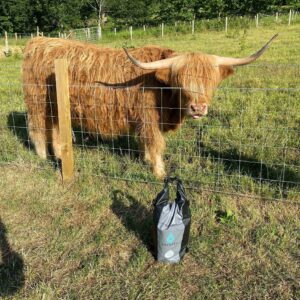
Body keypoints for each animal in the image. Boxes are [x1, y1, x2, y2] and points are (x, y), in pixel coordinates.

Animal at [22, 34, 278, 178]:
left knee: (55, 129)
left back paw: (58, 155)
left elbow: (146, 143)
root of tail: (38, 41)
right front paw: (159, 172)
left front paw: (146, 160)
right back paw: (43, 157)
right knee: (37, 128)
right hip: (38, 102)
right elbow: (155, 143)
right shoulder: (149, 118)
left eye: (210, 81)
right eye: (180, 81)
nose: (198, 109)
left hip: (56, 106)